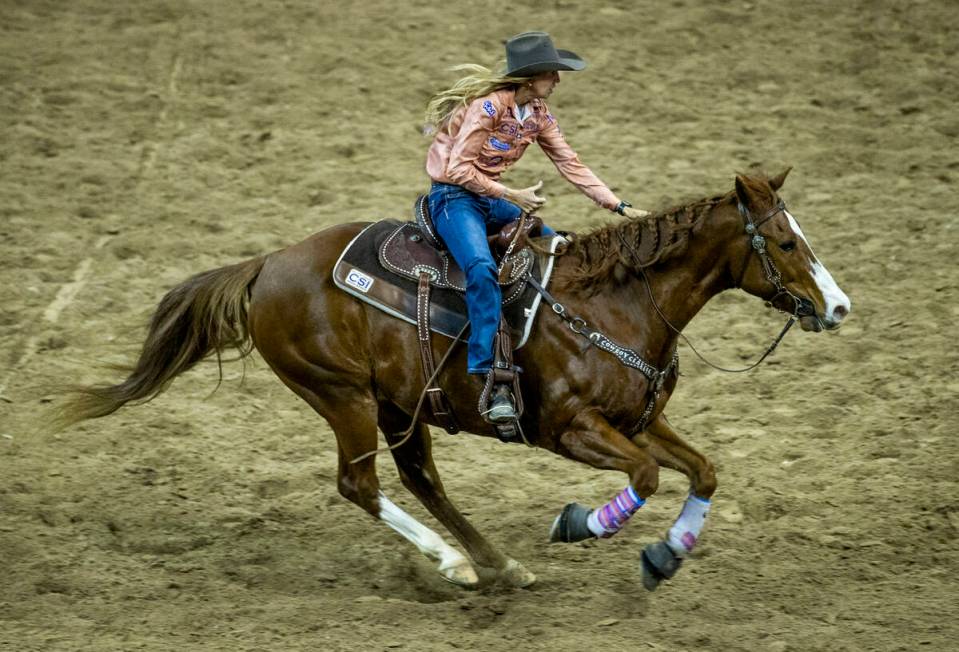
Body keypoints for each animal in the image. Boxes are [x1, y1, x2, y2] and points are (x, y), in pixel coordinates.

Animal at [56, 168, 852, 592]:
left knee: (419, 478)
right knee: (360, 484)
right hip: (340, 395)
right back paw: (456, 564)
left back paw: (496, 564)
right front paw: (578, 524)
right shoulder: (570, 430)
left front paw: (663, 557)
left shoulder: (639, 421)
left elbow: (704, 471)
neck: (615, 303)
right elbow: (647, 478)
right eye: (785, 243)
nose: (839, 306)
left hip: (397, 403)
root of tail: (266, 265)